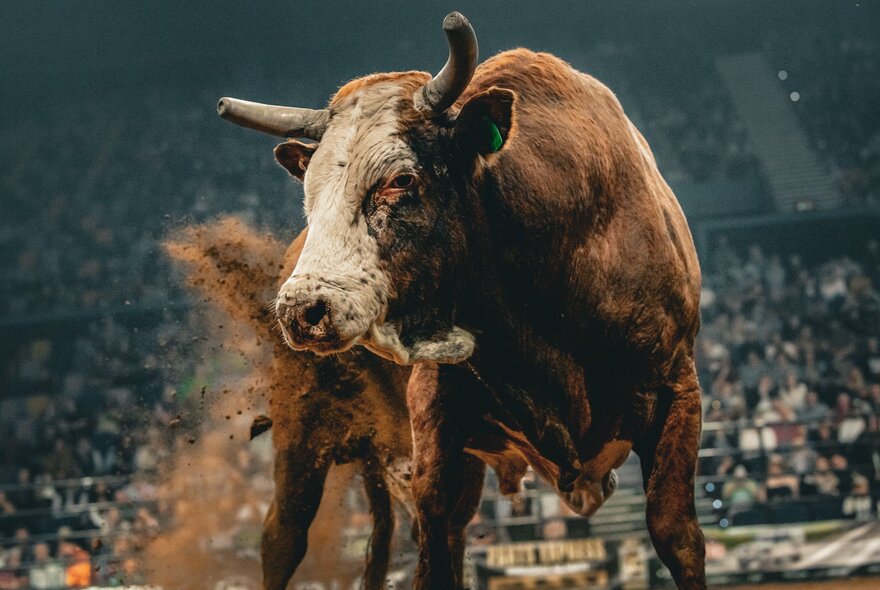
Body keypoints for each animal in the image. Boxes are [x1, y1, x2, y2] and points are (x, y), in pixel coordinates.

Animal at [217, 12, 706, 590]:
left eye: (401, 179)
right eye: (309, 191)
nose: (301, 308)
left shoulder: (678, 388)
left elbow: (676, 533)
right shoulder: (436, 417)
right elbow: (433, 546)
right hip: (302, 432)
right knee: (284, 536)